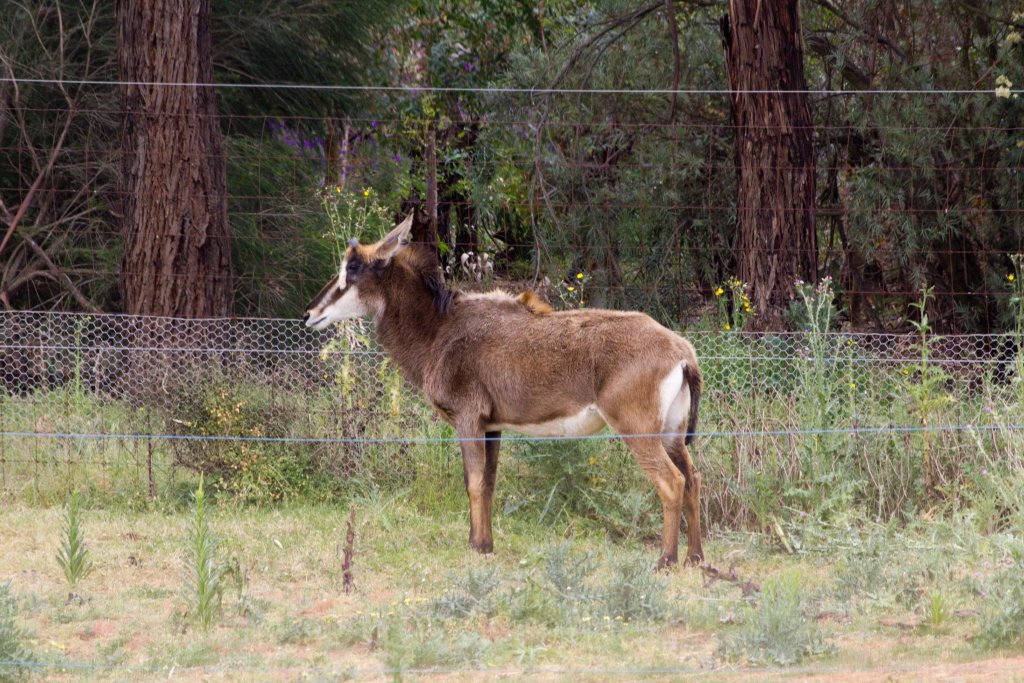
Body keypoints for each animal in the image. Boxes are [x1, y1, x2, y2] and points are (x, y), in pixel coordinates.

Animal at [304, 215, 705, 568]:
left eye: (353, 268)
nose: (309, 313)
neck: (439, 330)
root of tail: (683, 353)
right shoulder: (492, 426)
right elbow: (490, 483)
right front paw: (484, 542)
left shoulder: (468, 418)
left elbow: (473, 481)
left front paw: (478, 548)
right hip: (672, 432)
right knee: (693, 478)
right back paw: (695, 558)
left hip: (638, 429)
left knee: (672, 482)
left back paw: (666, 560)